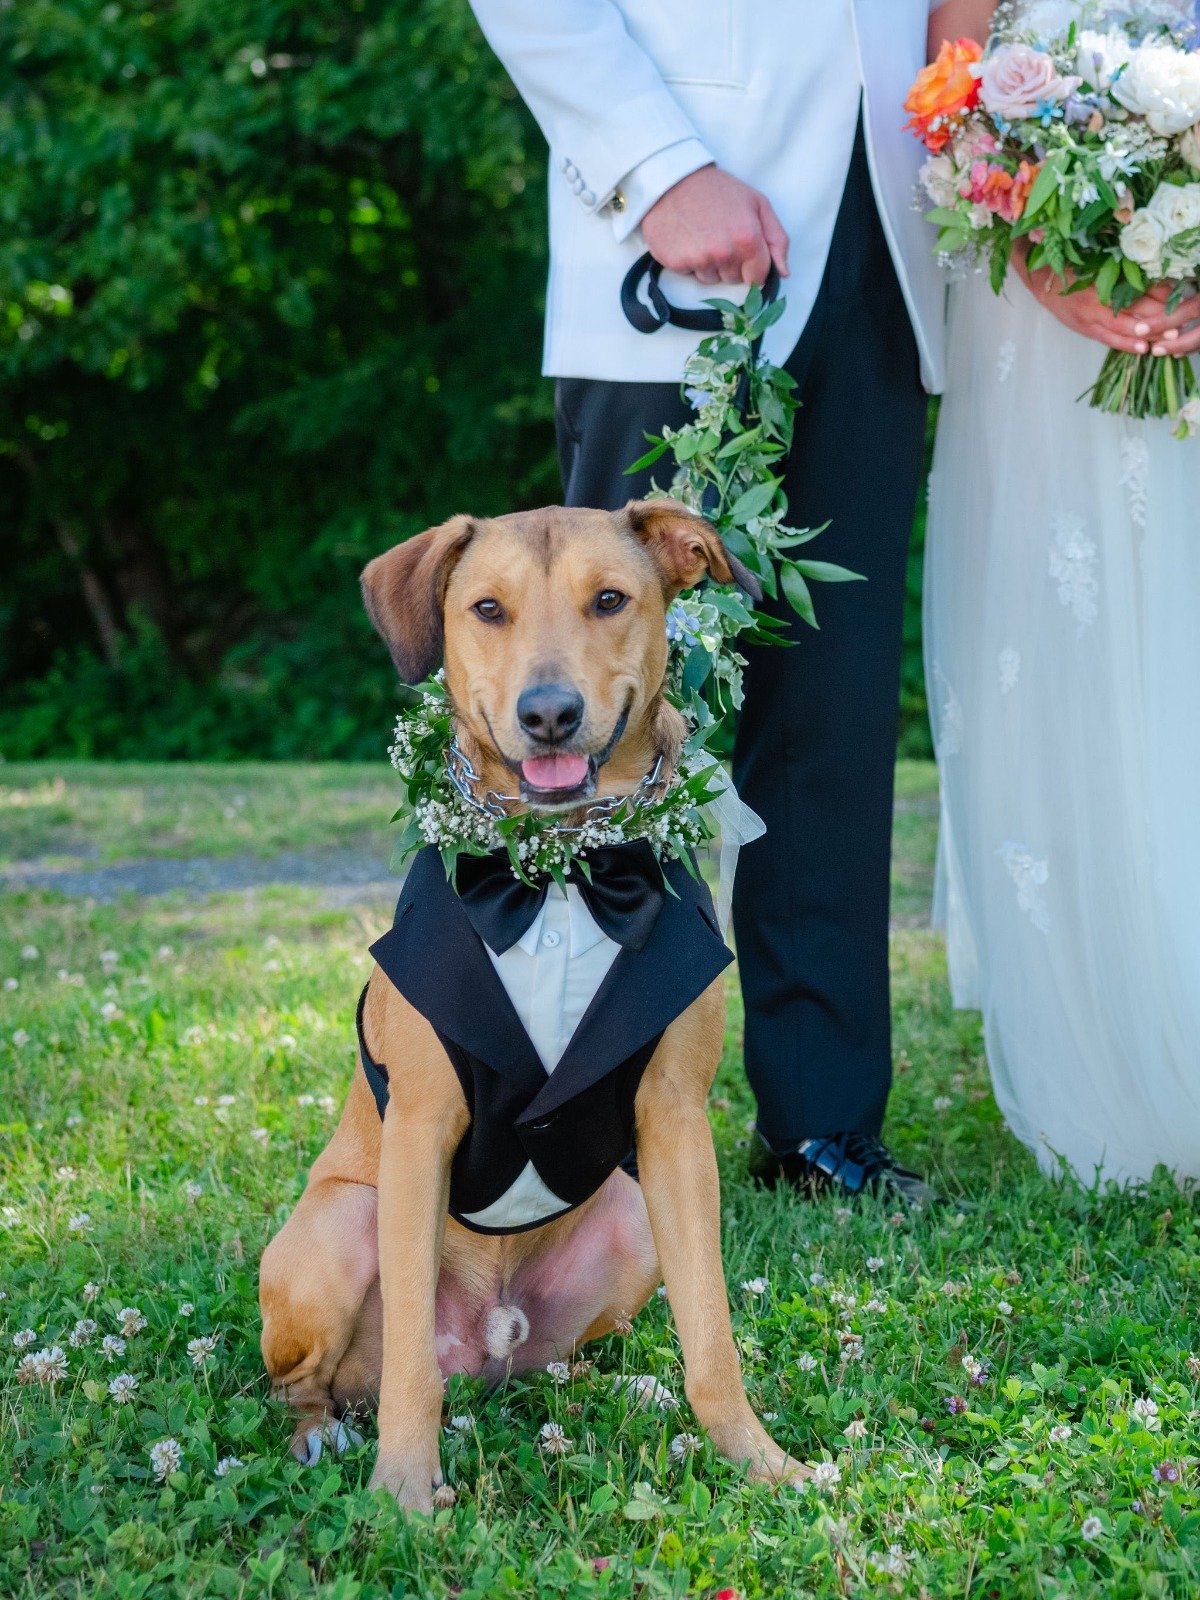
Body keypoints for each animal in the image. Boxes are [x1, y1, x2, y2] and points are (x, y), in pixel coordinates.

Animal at [260, 502, 809, 1510]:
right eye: (487, 609)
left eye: (611, 599)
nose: (548, 714)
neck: (561, 872)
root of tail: (486, 1340)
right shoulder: (421, 1128)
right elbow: (409, 1371)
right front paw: (403, 1497)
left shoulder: (676, 1125)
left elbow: (712, 1334)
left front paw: (759, 1461)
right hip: (340, 1227)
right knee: (318, 1385)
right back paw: (321, 1438)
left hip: (630, 1222)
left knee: (551, 1364)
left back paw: (618, 1386)